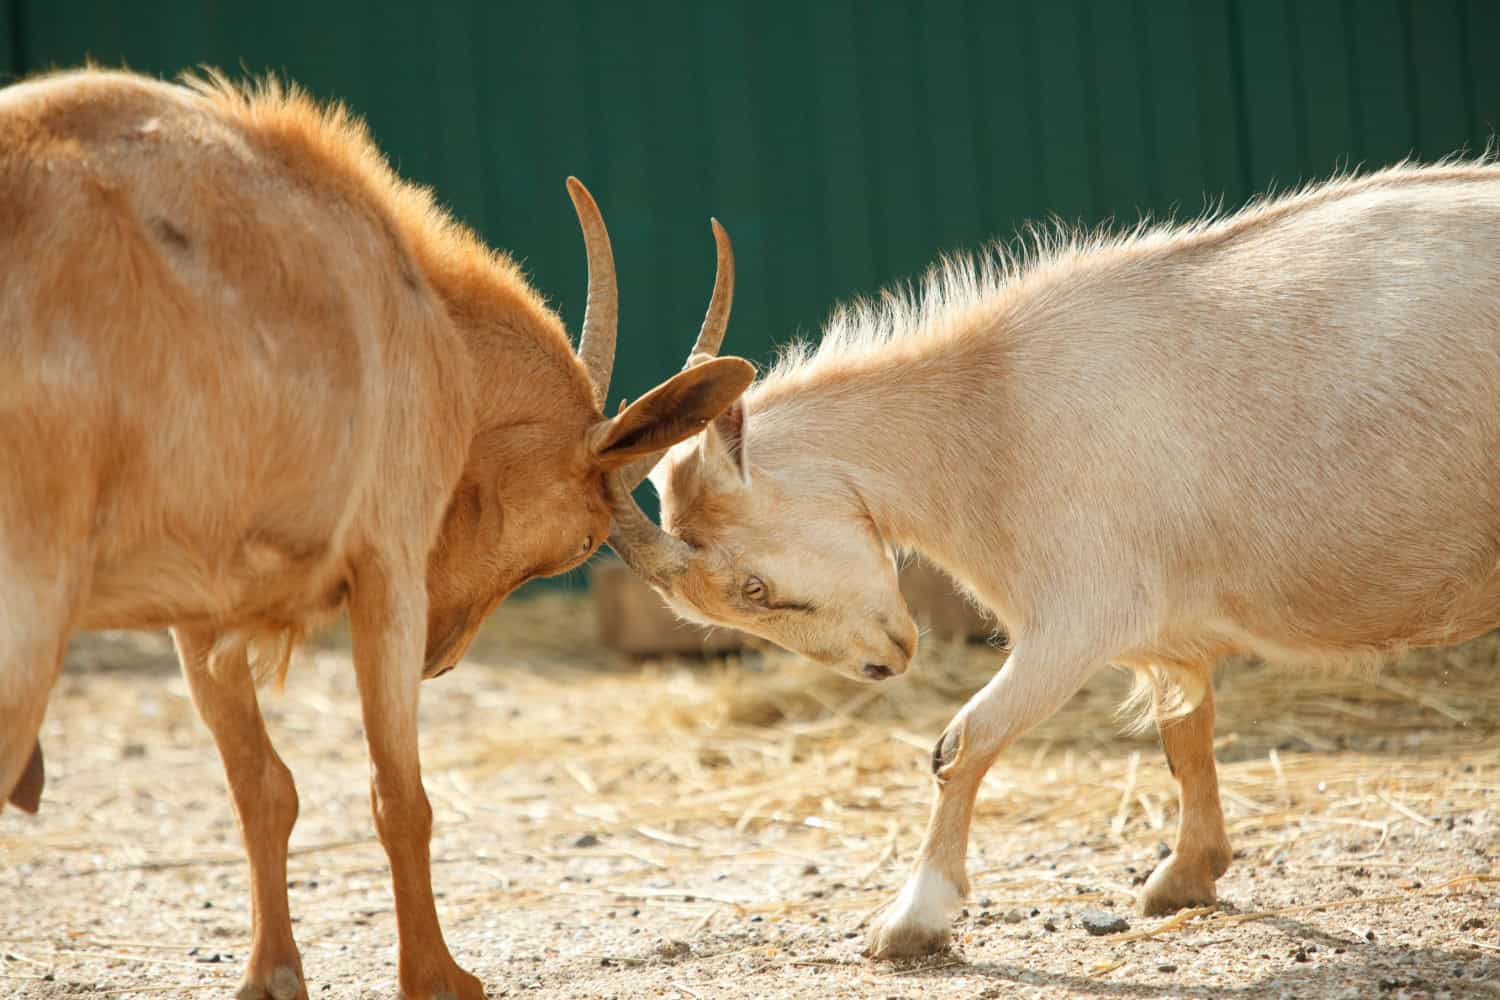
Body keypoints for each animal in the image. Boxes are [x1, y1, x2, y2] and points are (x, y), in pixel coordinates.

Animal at [0, 67, 752, 999]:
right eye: (583, 541)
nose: (441, 655)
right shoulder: (388, 567)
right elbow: (400, 795)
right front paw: (440, 976)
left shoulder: (198, 607)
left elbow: (262, 786)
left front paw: (272, 973)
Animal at [604, 160, 1500, 959]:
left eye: (752, 584)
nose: (882, 662)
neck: (991, 407)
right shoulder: (1158, 625)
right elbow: (1184, 730)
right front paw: (1185, 877)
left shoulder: (1077, 618)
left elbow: (962, 741)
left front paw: (910, 923)